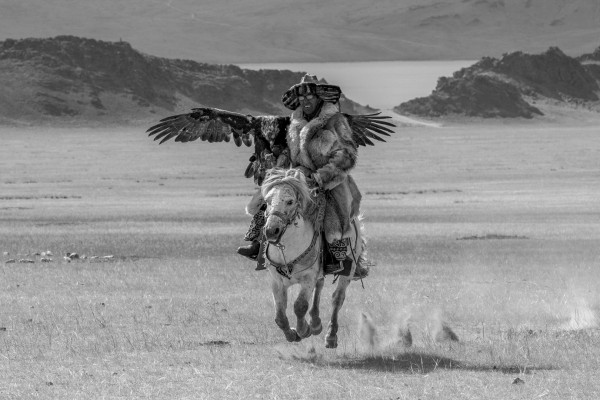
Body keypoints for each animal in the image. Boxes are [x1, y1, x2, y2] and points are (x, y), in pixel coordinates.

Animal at [260, 168, 365, 348]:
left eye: (290, 201)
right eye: (266, 202)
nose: (271, 231)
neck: (289, 248)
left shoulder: (307, 277)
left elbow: (300, 306)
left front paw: (303, 331)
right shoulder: (276, 280)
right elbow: (279, 316)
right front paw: (292, 334)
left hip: (349, 268)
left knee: (337, 298)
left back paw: (330, 336)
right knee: (320, 286)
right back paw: (316, 322)